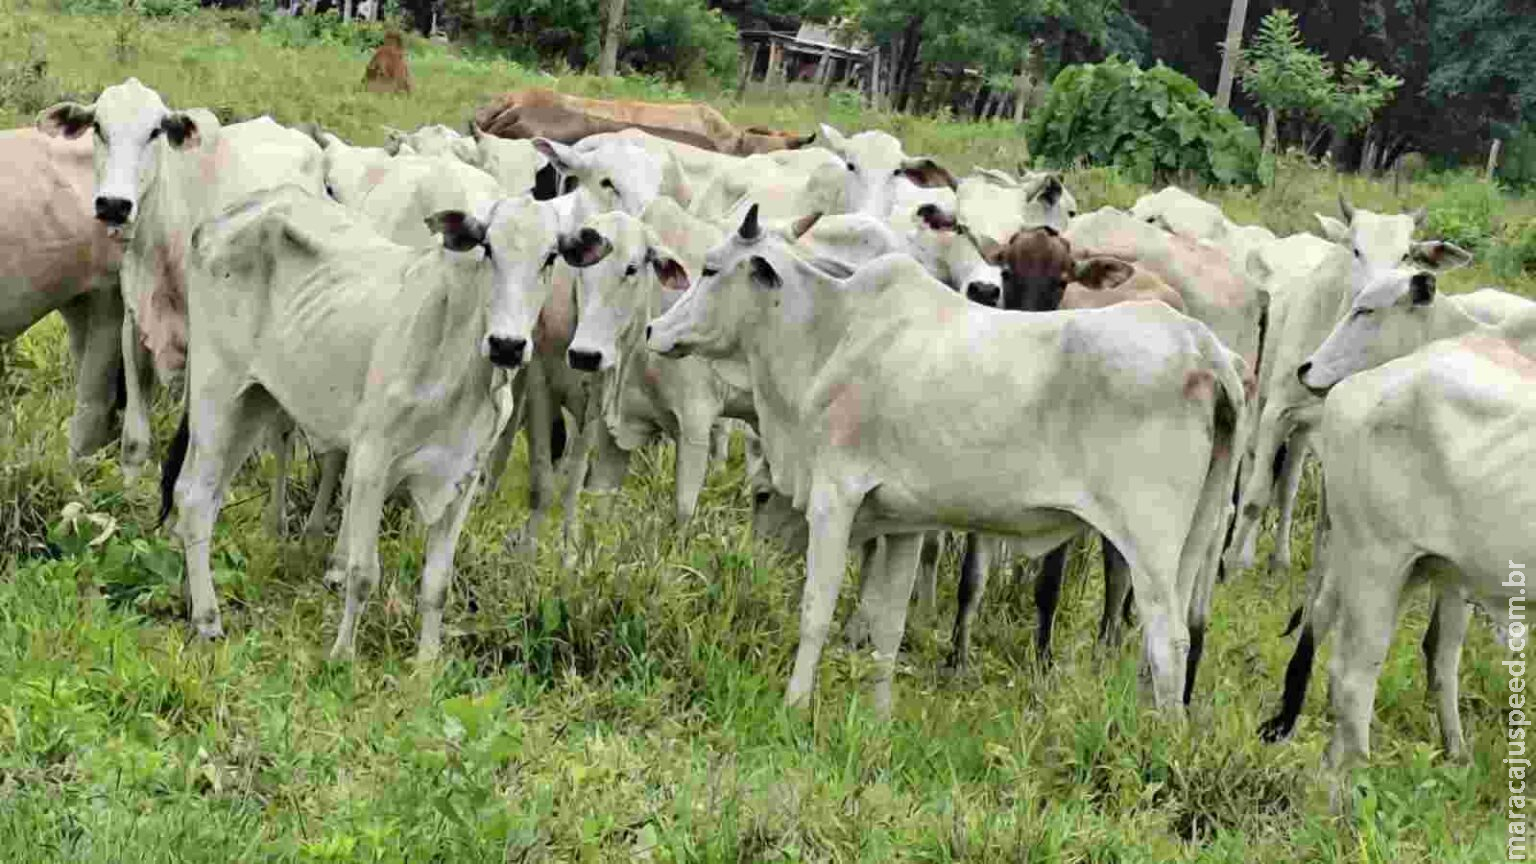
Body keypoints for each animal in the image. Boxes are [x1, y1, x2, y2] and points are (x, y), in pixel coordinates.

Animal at [160, 182, 565, 651]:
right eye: (488, 248)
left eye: (551, 257)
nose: (507, 345)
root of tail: (221, 219)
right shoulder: (373, 459)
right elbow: (363, 573)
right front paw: (342, 654)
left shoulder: (464, 475)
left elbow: (437, 584)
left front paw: (427, 661)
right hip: (217, 390)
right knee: (192, 496)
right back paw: (208, 619)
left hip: (253, 402)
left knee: (205, 498)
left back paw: (192, 601)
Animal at [645, 202, 1247, 713]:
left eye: (710, 268)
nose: (653, 329)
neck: (830, 334)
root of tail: (1204, 349)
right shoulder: (905, 523)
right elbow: (888, 627)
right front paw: (878, 717)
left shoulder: (835, 499)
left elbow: (816, 609)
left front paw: (795, 706)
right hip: (1192, 540)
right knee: (1171, 641)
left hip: (1148, 543)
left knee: (1166, 641)